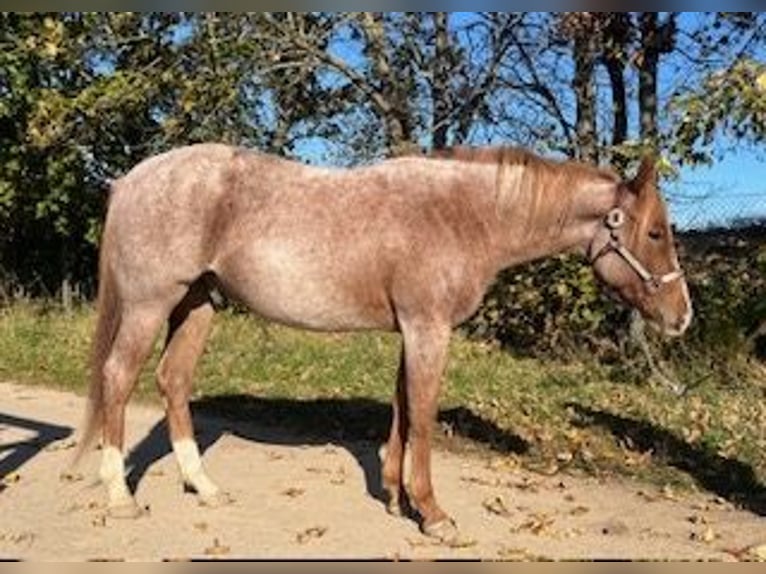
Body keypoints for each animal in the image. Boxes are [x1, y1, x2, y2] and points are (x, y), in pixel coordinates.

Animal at [75, 144, 692, 544]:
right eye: (655, 232)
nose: (681, 317)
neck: (465, 216)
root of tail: (130, 180)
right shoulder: (428, 329)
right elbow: (422, 415)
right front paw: (434, 515)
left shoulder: (413, 330)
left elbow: (400, 408)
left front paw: (396, 498)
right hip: (151, 303)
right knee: (118, 377)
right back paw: (119, 496)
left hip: (198, 304)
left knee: (172, 381)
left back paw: (203, 486)